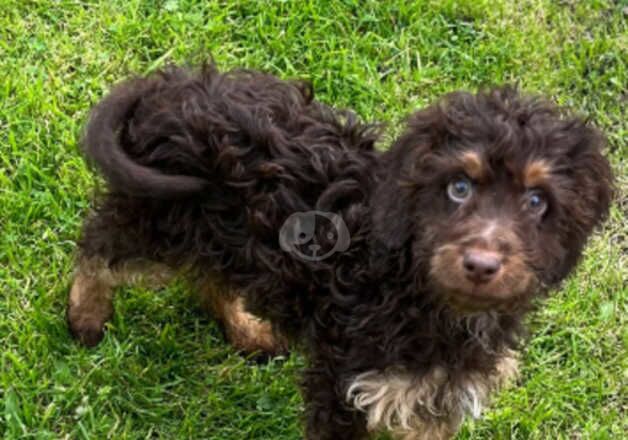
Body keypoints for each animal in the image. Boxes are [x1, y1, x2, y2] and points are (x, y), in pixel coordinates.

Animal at [66, 65, 612, 440]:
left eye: (537, 201)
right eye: (458, 187)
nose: (481, 264)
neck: (420, 292)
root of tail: (168, 86)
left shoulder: (435, 400)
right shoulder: (345, 384)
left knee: (208, 277)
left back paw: (247, 330)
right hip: (157, 216)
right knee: (97, 248)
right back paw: (85, 316)